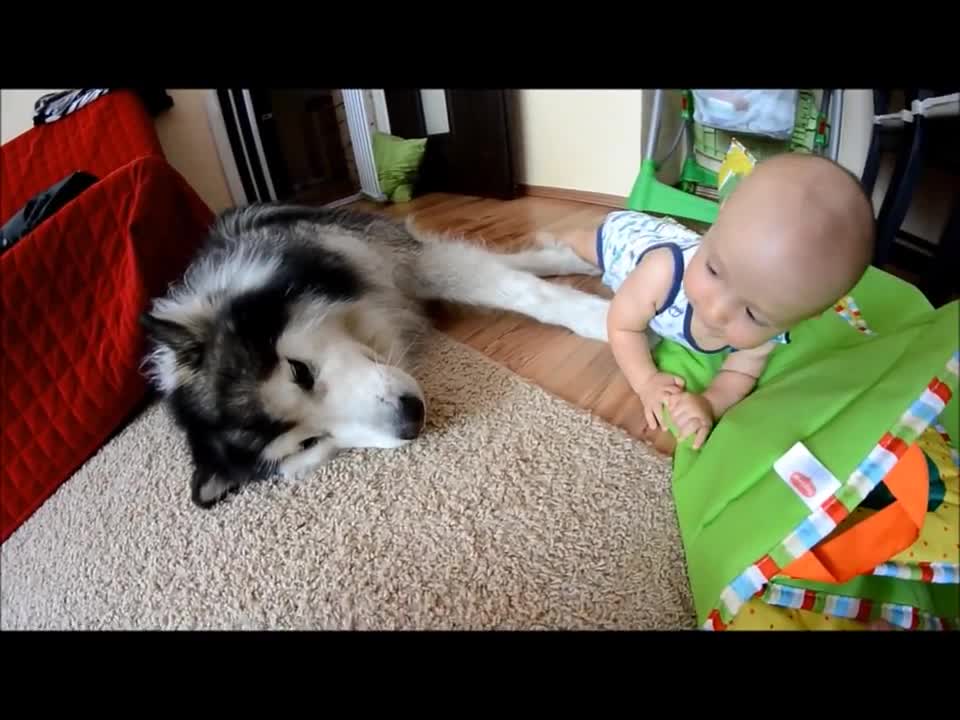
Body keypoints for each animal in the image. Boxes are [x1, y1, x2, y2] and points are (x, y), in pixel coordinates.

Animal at [141, 202, 608, 506]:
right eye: (311, 442)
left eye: (299, 371)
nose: (411, 420)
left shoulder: (385, 261)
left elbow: (521, 289)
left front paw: (602, 318)